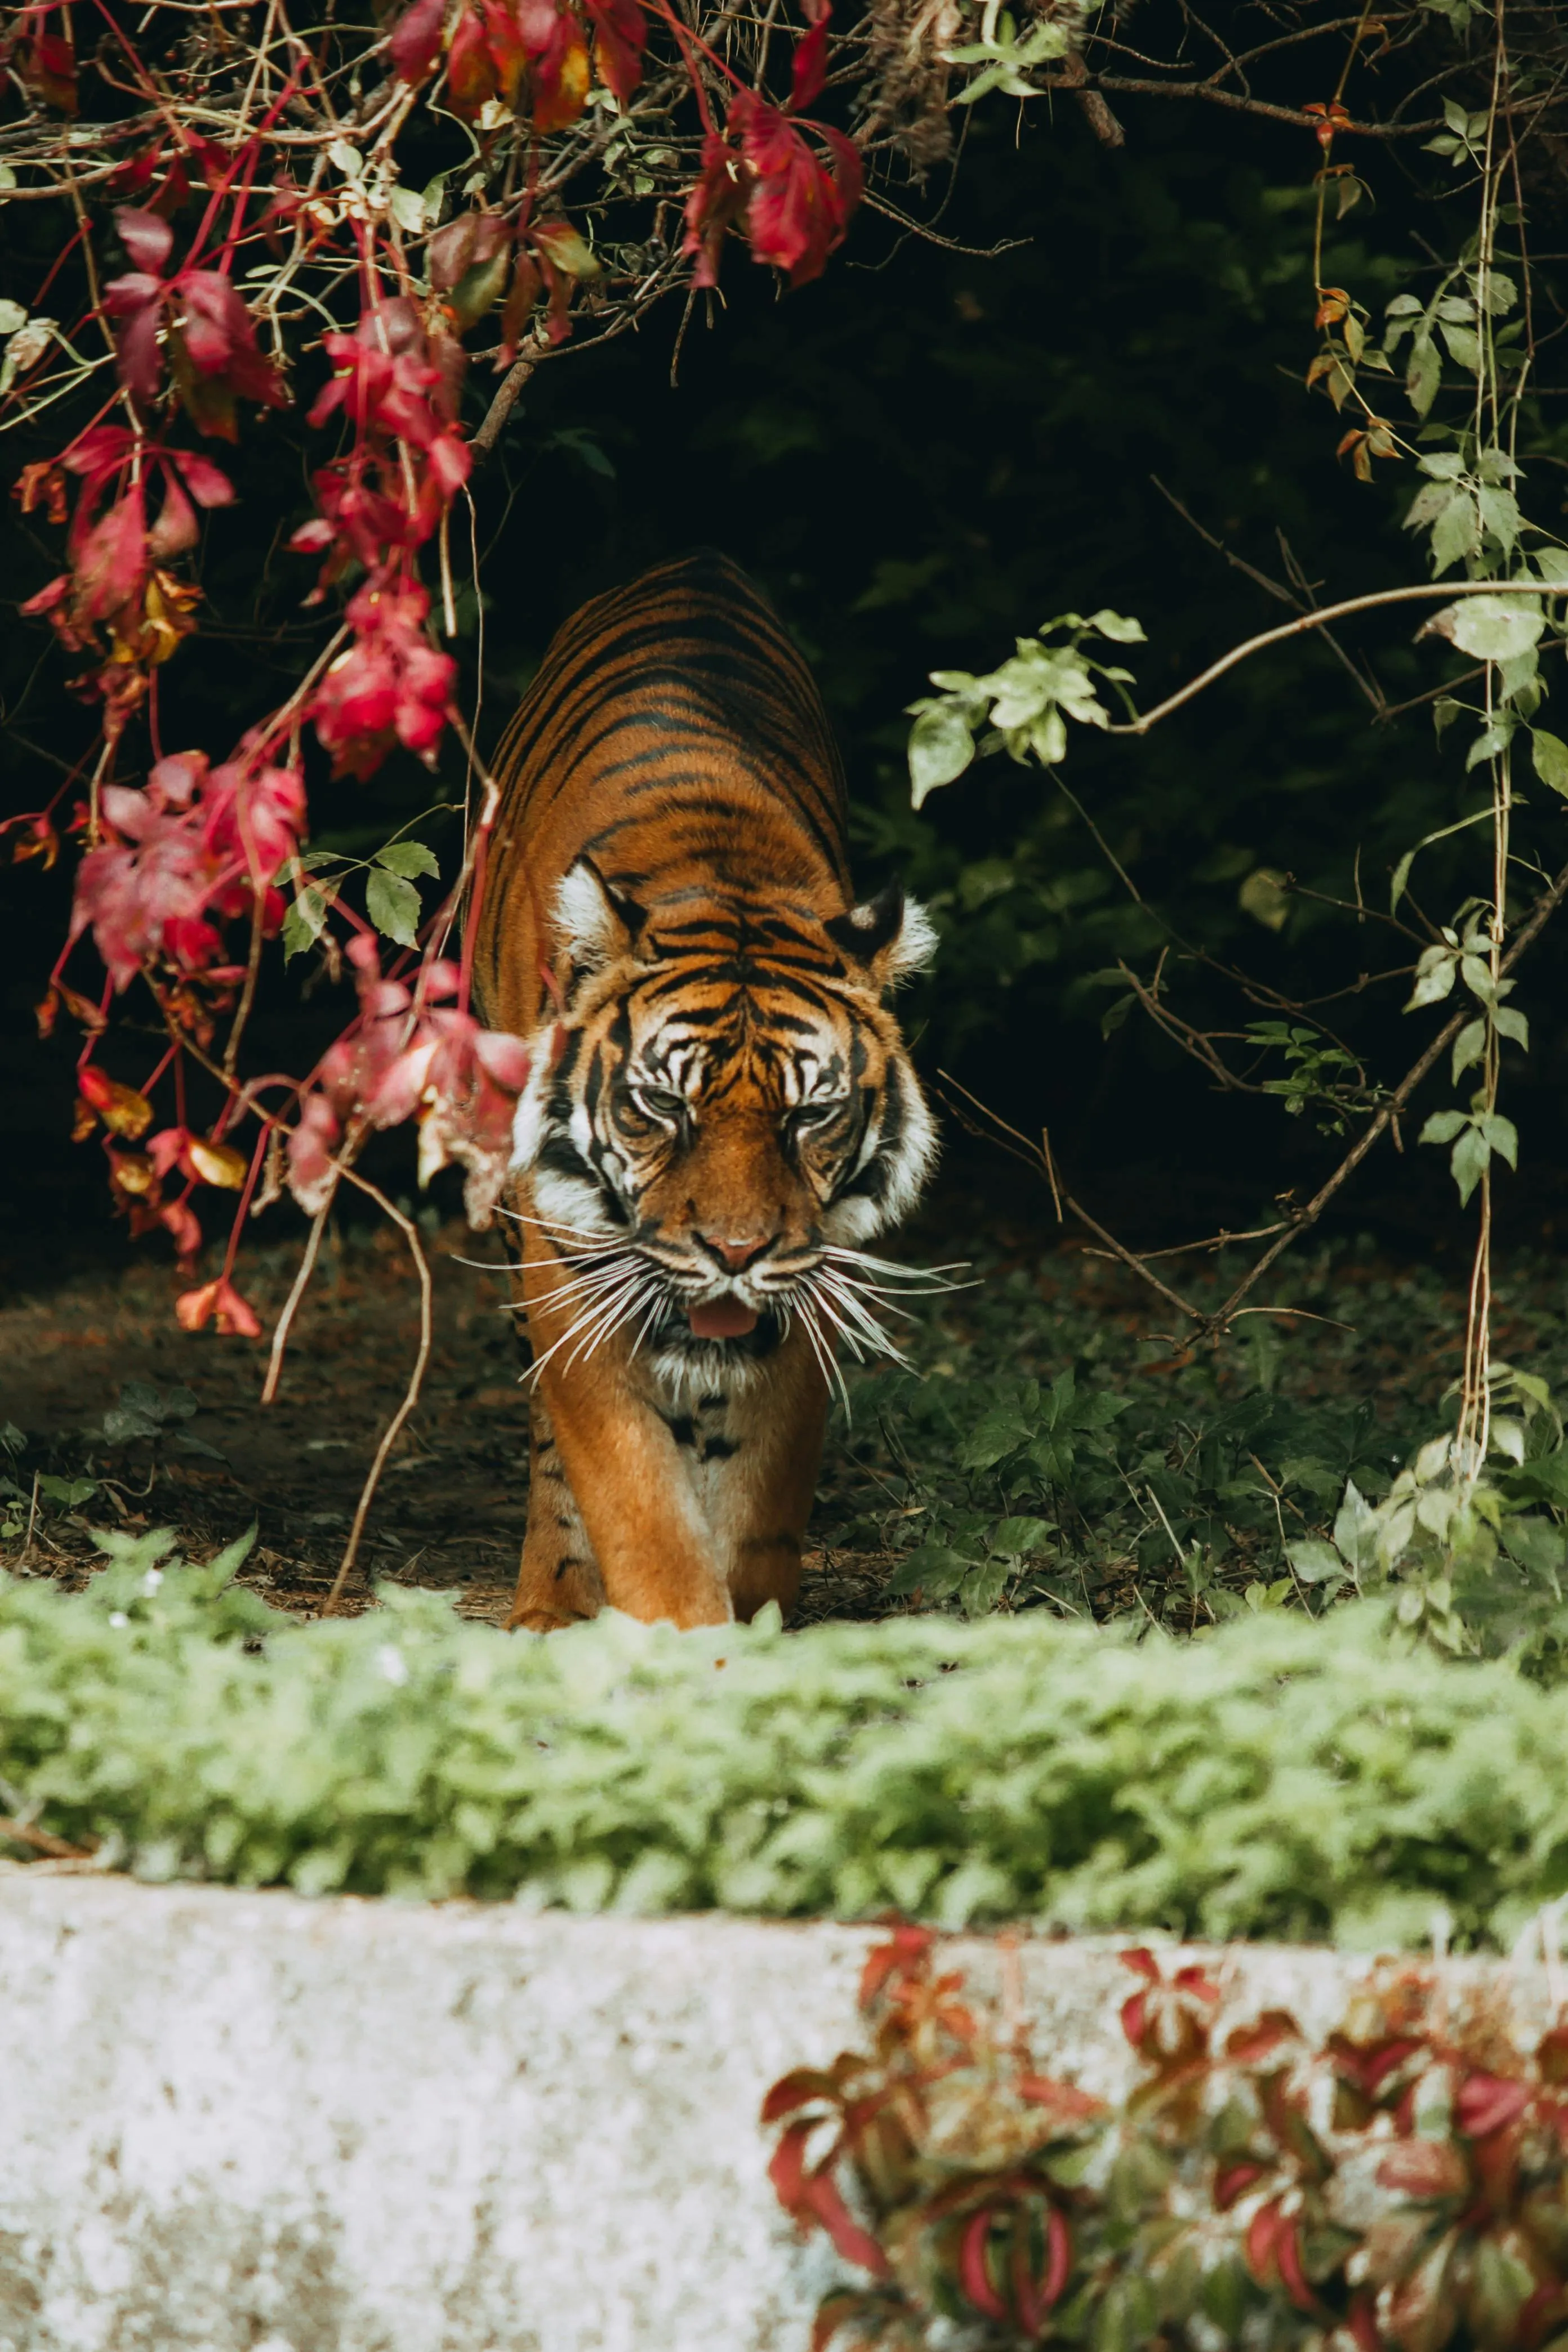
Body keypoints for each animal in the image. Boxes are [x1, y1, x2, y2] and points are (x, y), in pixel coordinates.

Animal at [471, 549, 938, 1632]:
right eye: (662, 1107)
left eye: (810, 1115)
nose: (734, 1254)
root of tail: (692, 563)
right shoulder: (568, 1260)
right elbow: (630, 1486)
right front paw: (682, 1635)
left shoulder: (809, 1274)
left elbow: (761, 1489)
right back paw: (549, 1602)